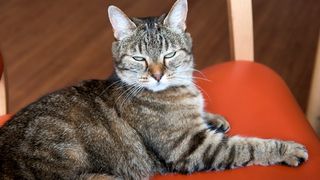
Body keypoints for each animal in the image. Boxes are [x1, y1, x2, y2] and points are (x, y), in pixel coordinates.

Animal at [0, 0, 308, 179]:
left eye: (169, 55)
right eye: (139, 59)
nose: (158, 75)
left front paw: (213, 118)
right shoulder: (191, 148)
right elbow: (247, 147)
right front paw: (287, 149)